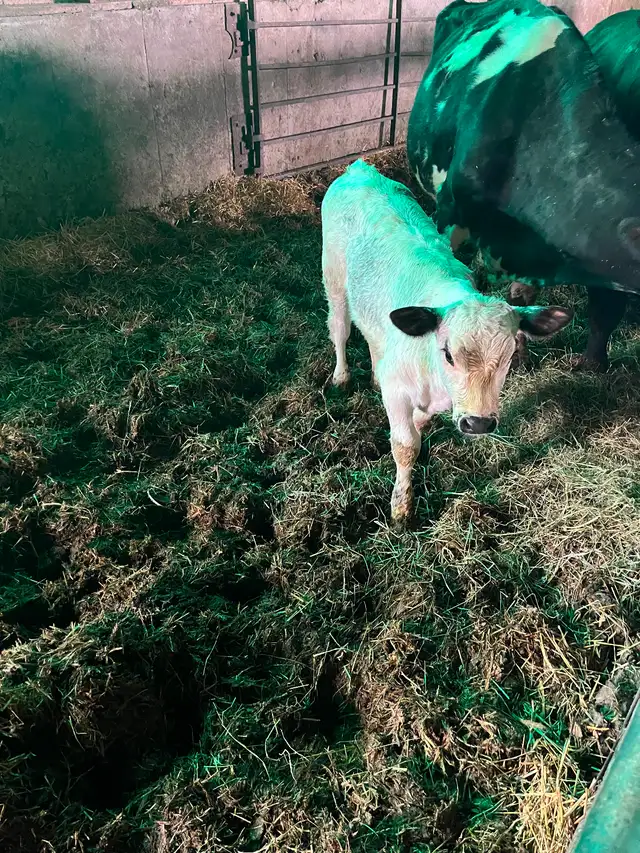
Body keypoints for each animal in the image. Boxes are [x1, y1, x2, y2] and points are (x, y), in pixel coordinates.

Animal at [321, 159, 571, 523]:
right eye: (448, 354)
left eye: (509, 357)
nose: (478, 423)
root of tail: (360, 169)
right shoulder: (399, 392)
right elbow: (405, 444)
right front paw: (401, 507)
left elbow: (419, 424)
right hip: (334, 277)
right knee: (339, 327)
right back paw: (341, 377)